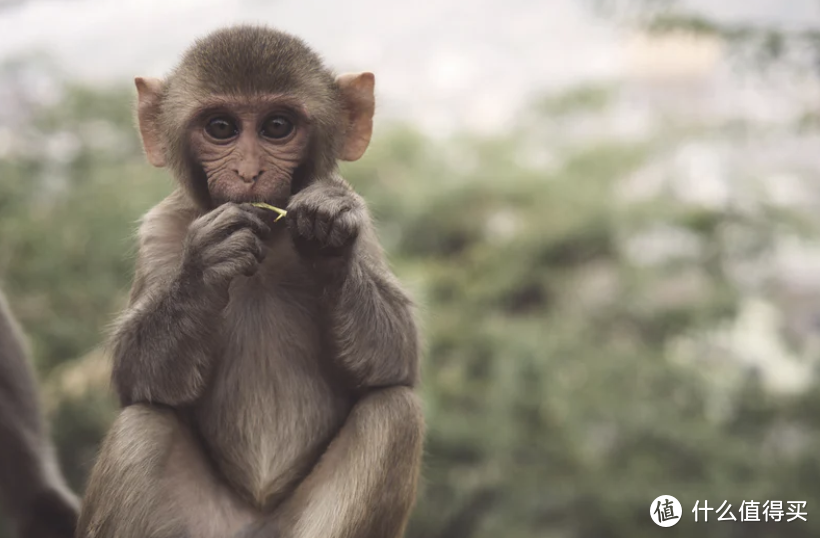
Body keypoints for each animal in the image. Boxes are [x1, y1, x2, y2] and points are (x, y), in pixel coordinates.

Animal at [75, 23, 430, 532]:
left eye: (277, 126)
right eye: (220, 128)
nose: (248, 172)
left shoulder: (364, 228)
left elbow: (396, 357)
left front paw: (327, 237)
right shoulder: (160, 231)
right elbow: (136, 376)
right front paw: (205, 266)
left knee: (393, 413)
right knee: (142, 425)